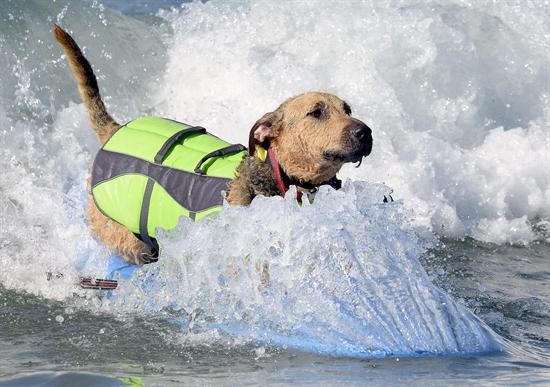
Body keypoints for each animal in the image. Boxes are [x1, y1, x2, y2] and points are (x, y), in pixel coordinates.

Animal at [54, 25, 374, 266]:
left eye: (347, 109)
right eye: (316, 112)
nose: (366, 133)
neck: (282, 174)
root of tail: (116, 129)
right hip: (121, 232)